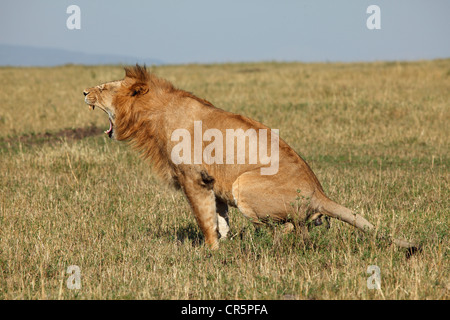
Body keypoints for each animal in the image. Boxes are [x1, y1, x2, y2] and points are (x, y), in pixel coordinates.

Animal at [82, 63, 416, 251]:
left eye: (104, 87)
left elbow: (204, 219)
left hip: (244, 184)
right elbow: (220, 218)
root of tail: (320, 193)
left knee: (289, 228)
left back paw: (270, 242)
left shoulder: (193, 178)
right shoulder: (212, 181)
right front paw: (226, 244)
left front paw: (211, 251)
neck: (151, 116)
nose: (84, 92)